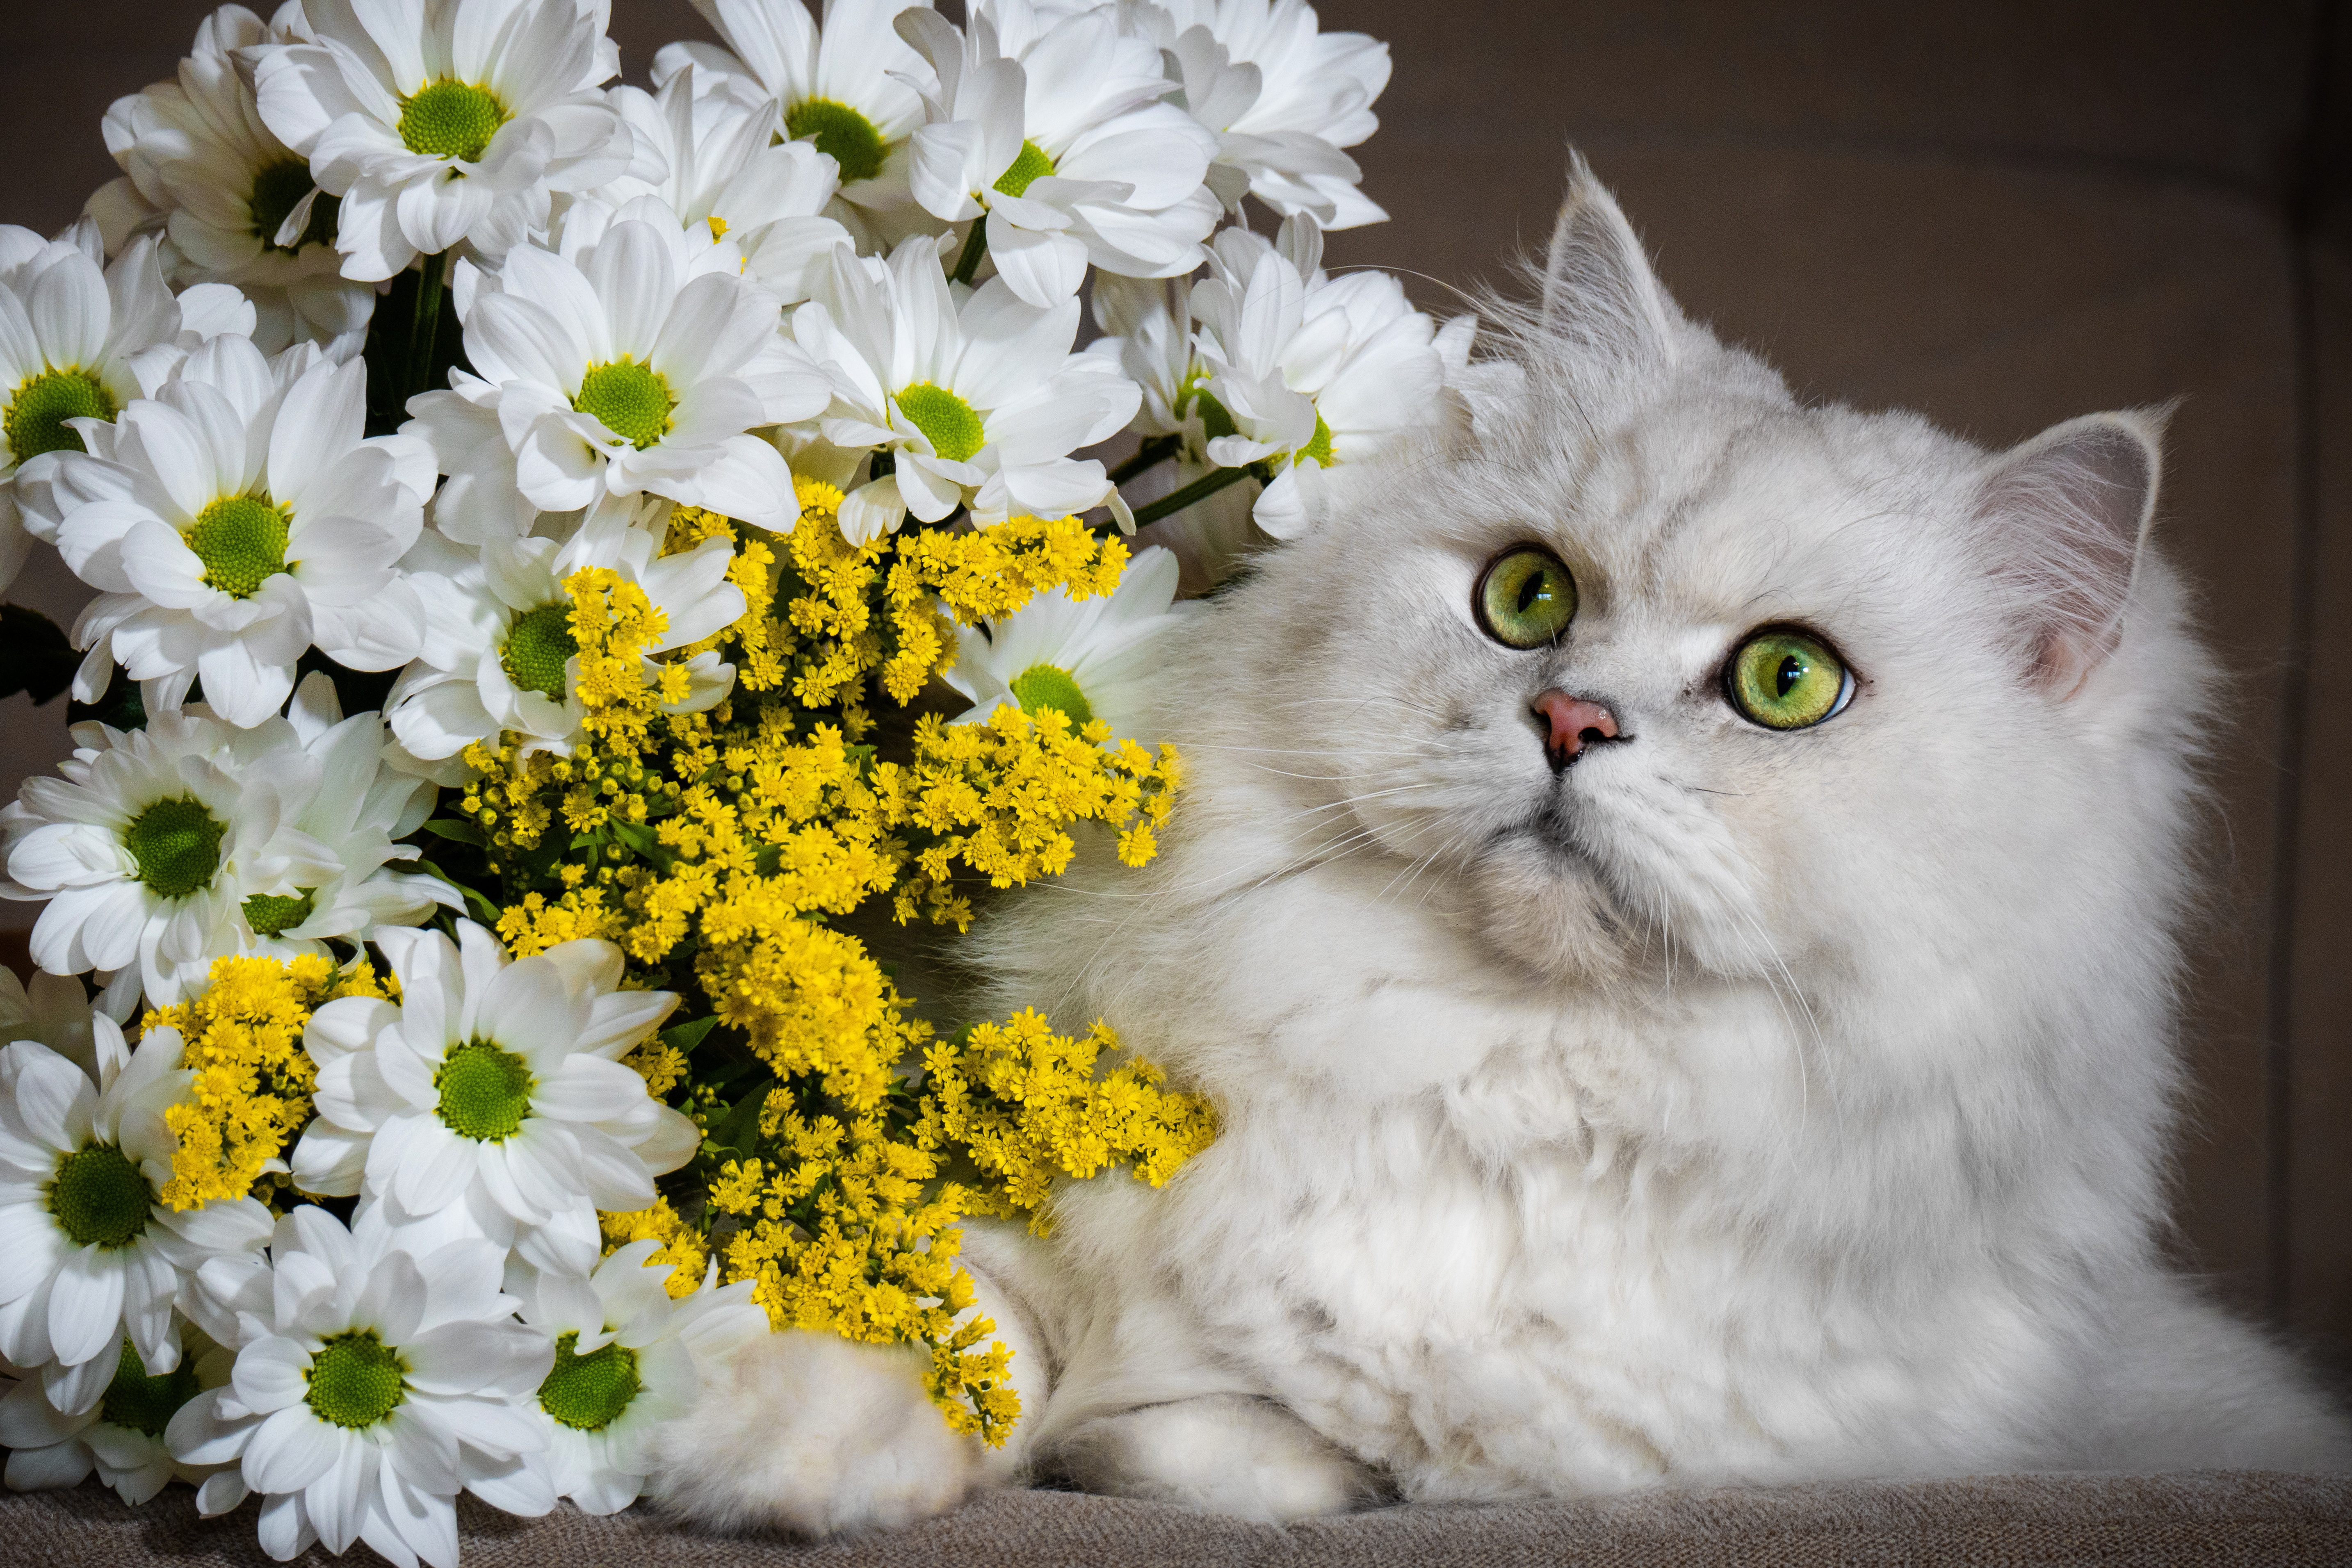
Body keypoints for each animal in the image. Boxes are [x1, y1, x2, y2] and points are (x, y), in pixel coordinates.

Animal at [654, 160, 2352, 1533]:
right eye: (1528, 600)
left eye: (1784, 683)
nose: (1572, 720)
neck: (1498, 1063)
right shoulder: (1006, 1179)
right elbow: (954, 1316)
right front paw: (776, 1454)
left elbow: (1242, 1439)